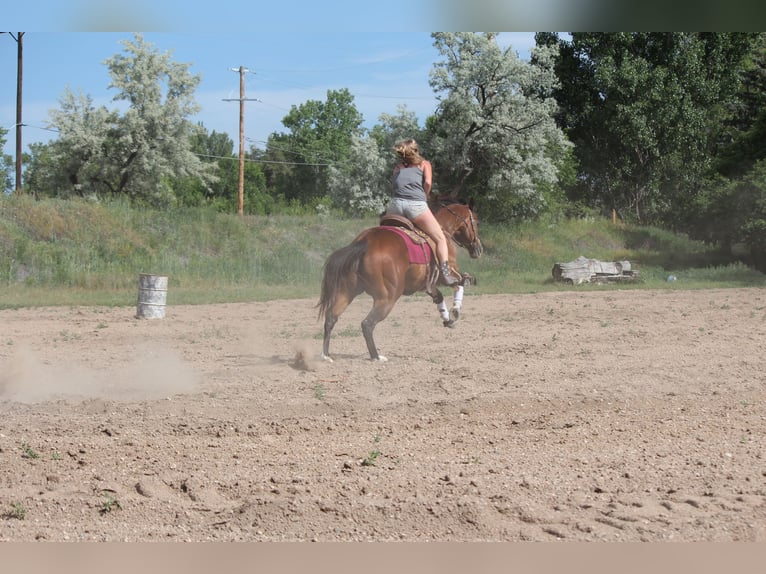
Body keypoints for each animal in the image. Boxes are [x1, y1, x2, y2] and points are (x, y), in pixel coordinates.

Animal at [317, 199, 483, 362]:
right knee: (367, 324)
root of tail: (364, 243)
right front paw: (455, 310)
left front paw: (447, 319)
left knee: (331, 318)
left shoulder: (426, 285)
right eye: (475, 221)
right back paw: (376, 356)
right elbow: (460, 285)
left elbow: (439, 297)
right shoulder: (448, 274)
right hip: (387, 298)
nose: (479, 249)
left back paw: (326, 355)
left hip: (347, 292)